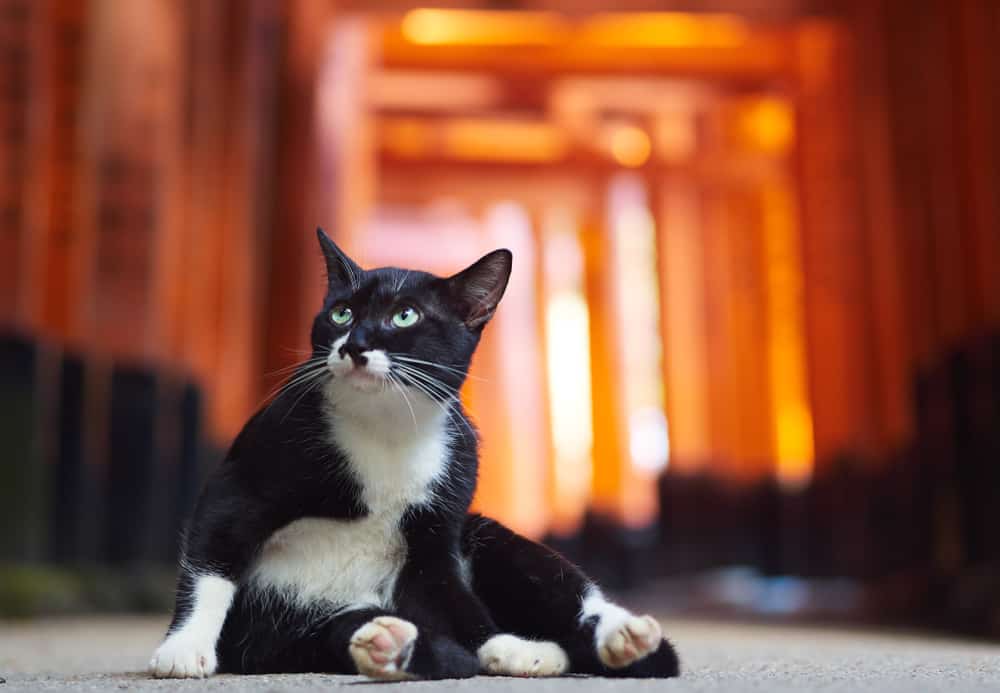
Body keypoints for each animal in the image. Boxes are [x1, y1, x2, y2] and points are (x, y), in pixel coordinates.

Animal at [148, 230, 680, 680]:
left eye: (406, 315)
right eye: (341, 313)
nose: (355, 344)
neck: (386, 429)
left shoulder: (437, 525)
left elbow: (454, 600)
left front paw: (506, 646)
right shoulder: (244, 476)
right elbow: (212, 561)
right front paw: (184, 647)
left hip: (485, 533)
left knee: (556, 587)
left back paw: (619, 638)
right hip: (279, 630)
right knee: (330, 633)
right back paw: (386, 644)